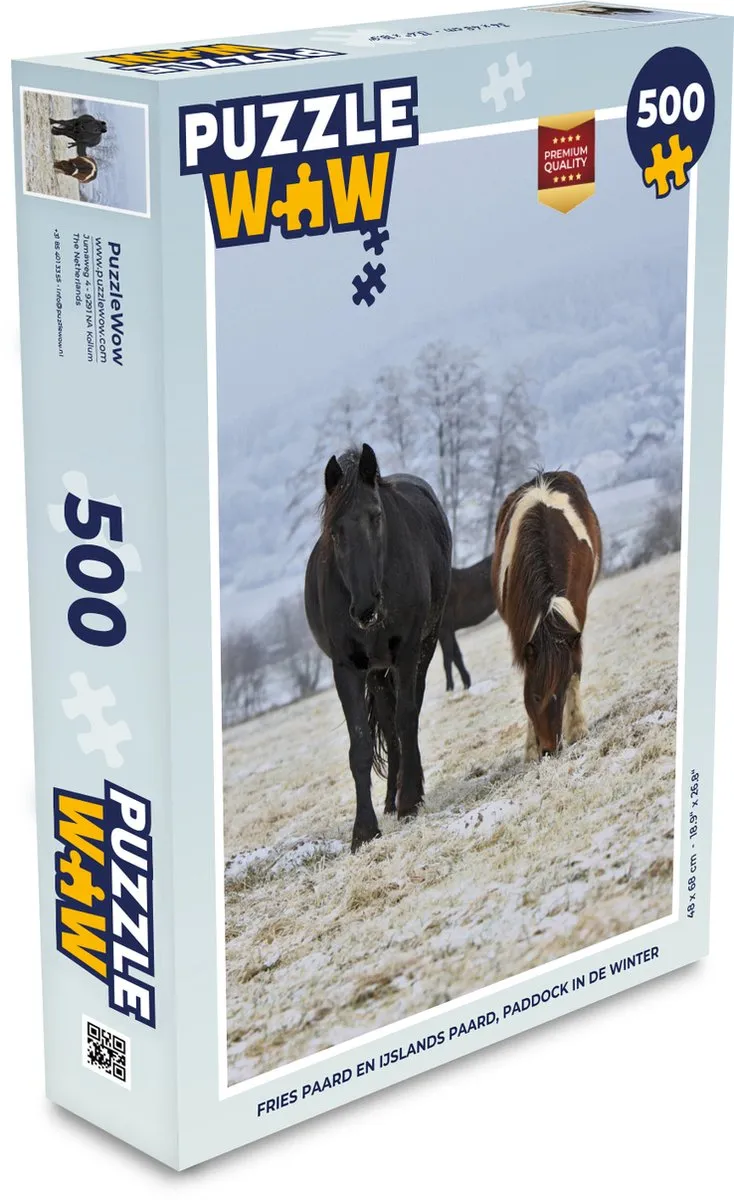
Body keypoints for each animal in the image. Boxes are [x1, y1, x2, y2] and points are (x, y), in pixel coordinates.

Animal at [305, 443, 452, 852]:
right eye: (334, 531)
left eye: (376, 517)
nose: (365, 608)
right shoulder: (348, 668)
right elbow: (361, 745)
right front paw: (364, 830)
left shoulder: (407, 652)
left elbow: (406, 720)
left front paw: (410, 801)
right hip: (378, 671)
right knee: (386, 722)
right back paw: (389, 798)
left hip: (421, 651)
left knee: (405, 717)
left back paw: (406, 794)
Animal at [438, 554, 496, 691]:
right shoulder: (450, 631)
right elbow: (457, 656)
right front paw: (466, 684)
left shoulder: (444, 630)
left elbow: (447, 660)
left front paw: (449, 689)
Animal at [491, 471, 601, 760]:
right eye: (536, 697)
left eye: (560, 692)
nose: (550, 749)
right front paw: (530, 749)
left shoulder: (575, 620)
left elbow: (575, 669)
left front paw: (578, 729)